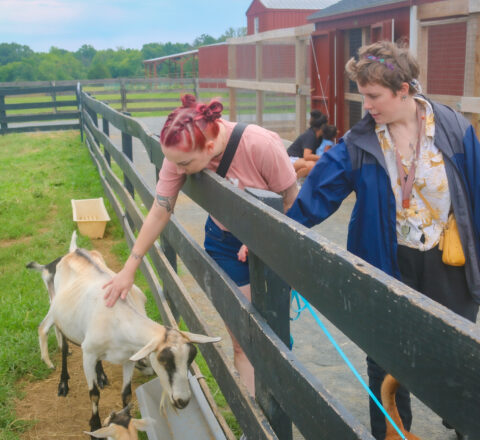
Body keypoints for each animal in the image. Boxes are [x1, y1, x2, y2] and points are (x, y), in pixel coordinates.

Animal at [36, 232, 220, 434]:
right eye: (164, 360)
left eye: (190, 359)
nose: (183, 401)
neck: (117, 319)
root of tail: (74, 250)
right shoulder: (88, 354)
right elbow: (94, 394)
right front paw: (95, 426)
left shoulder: (128, 357)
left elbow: (126, 394)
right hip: (60, 317)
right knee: (63, 346)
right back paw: (63, 384)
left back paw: (101, 376)